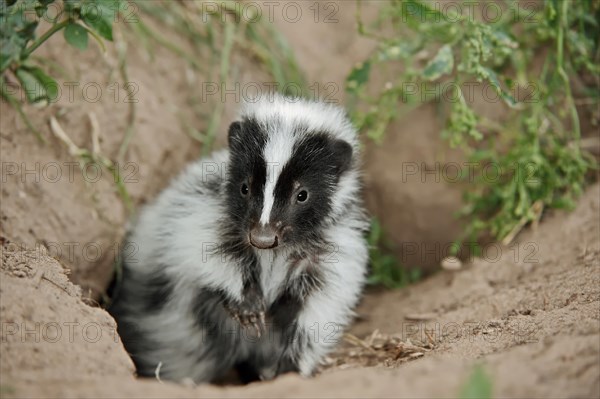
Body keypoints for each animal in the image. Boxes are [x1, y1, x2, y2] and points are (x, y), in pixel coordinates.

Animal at [109, 94, 368, 384]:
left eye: (302, 194)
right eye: (245, 187)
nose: (262, 237)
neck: (274, 253)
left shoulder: (330, 252)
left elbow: (317, 310)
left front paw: (289, 368)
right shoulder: (202, 208)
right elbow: (207, 251)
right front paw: (248, 306)